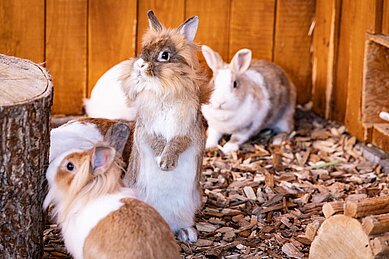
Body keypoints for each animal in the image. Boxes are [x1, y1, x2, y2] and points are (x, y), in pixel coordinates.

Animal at [122, 11, 208, 244]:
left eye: (165, 55)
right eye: (143, 50)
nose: (140, 66)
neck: (164, 91)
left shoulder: (188, 130)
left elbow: (176, 143)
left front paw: (167, 163)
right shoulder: (147, 129)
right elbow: (157, 141)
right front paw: (162, 160)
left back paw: (187, 234)